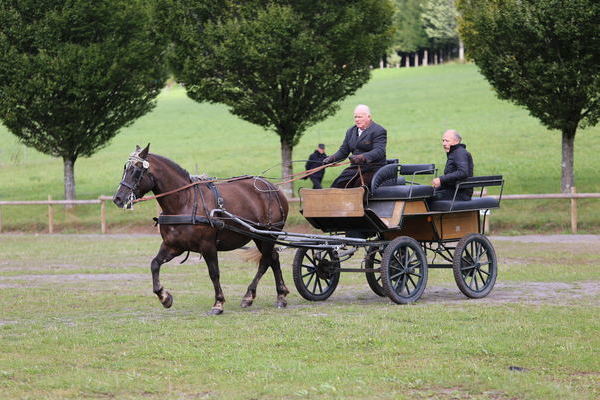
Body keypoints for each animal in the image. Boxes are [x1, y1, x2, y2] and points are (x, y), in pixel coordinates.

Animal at [113, 145, 292, 316]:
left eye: (136, 171)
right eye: (125, 168)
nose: (118, 199)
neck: (184, 202)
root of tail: (274, 188)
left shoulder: (208, 246)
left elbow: (214, 273)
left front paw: (218, 304)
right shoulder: (173, 246)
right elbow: (154, 264)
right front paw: (164, 297)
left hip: (268, 234)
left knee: (265, 261)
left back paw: (250, 295)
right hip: (259, 235)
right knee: (273, 258)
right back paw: (280, 296)